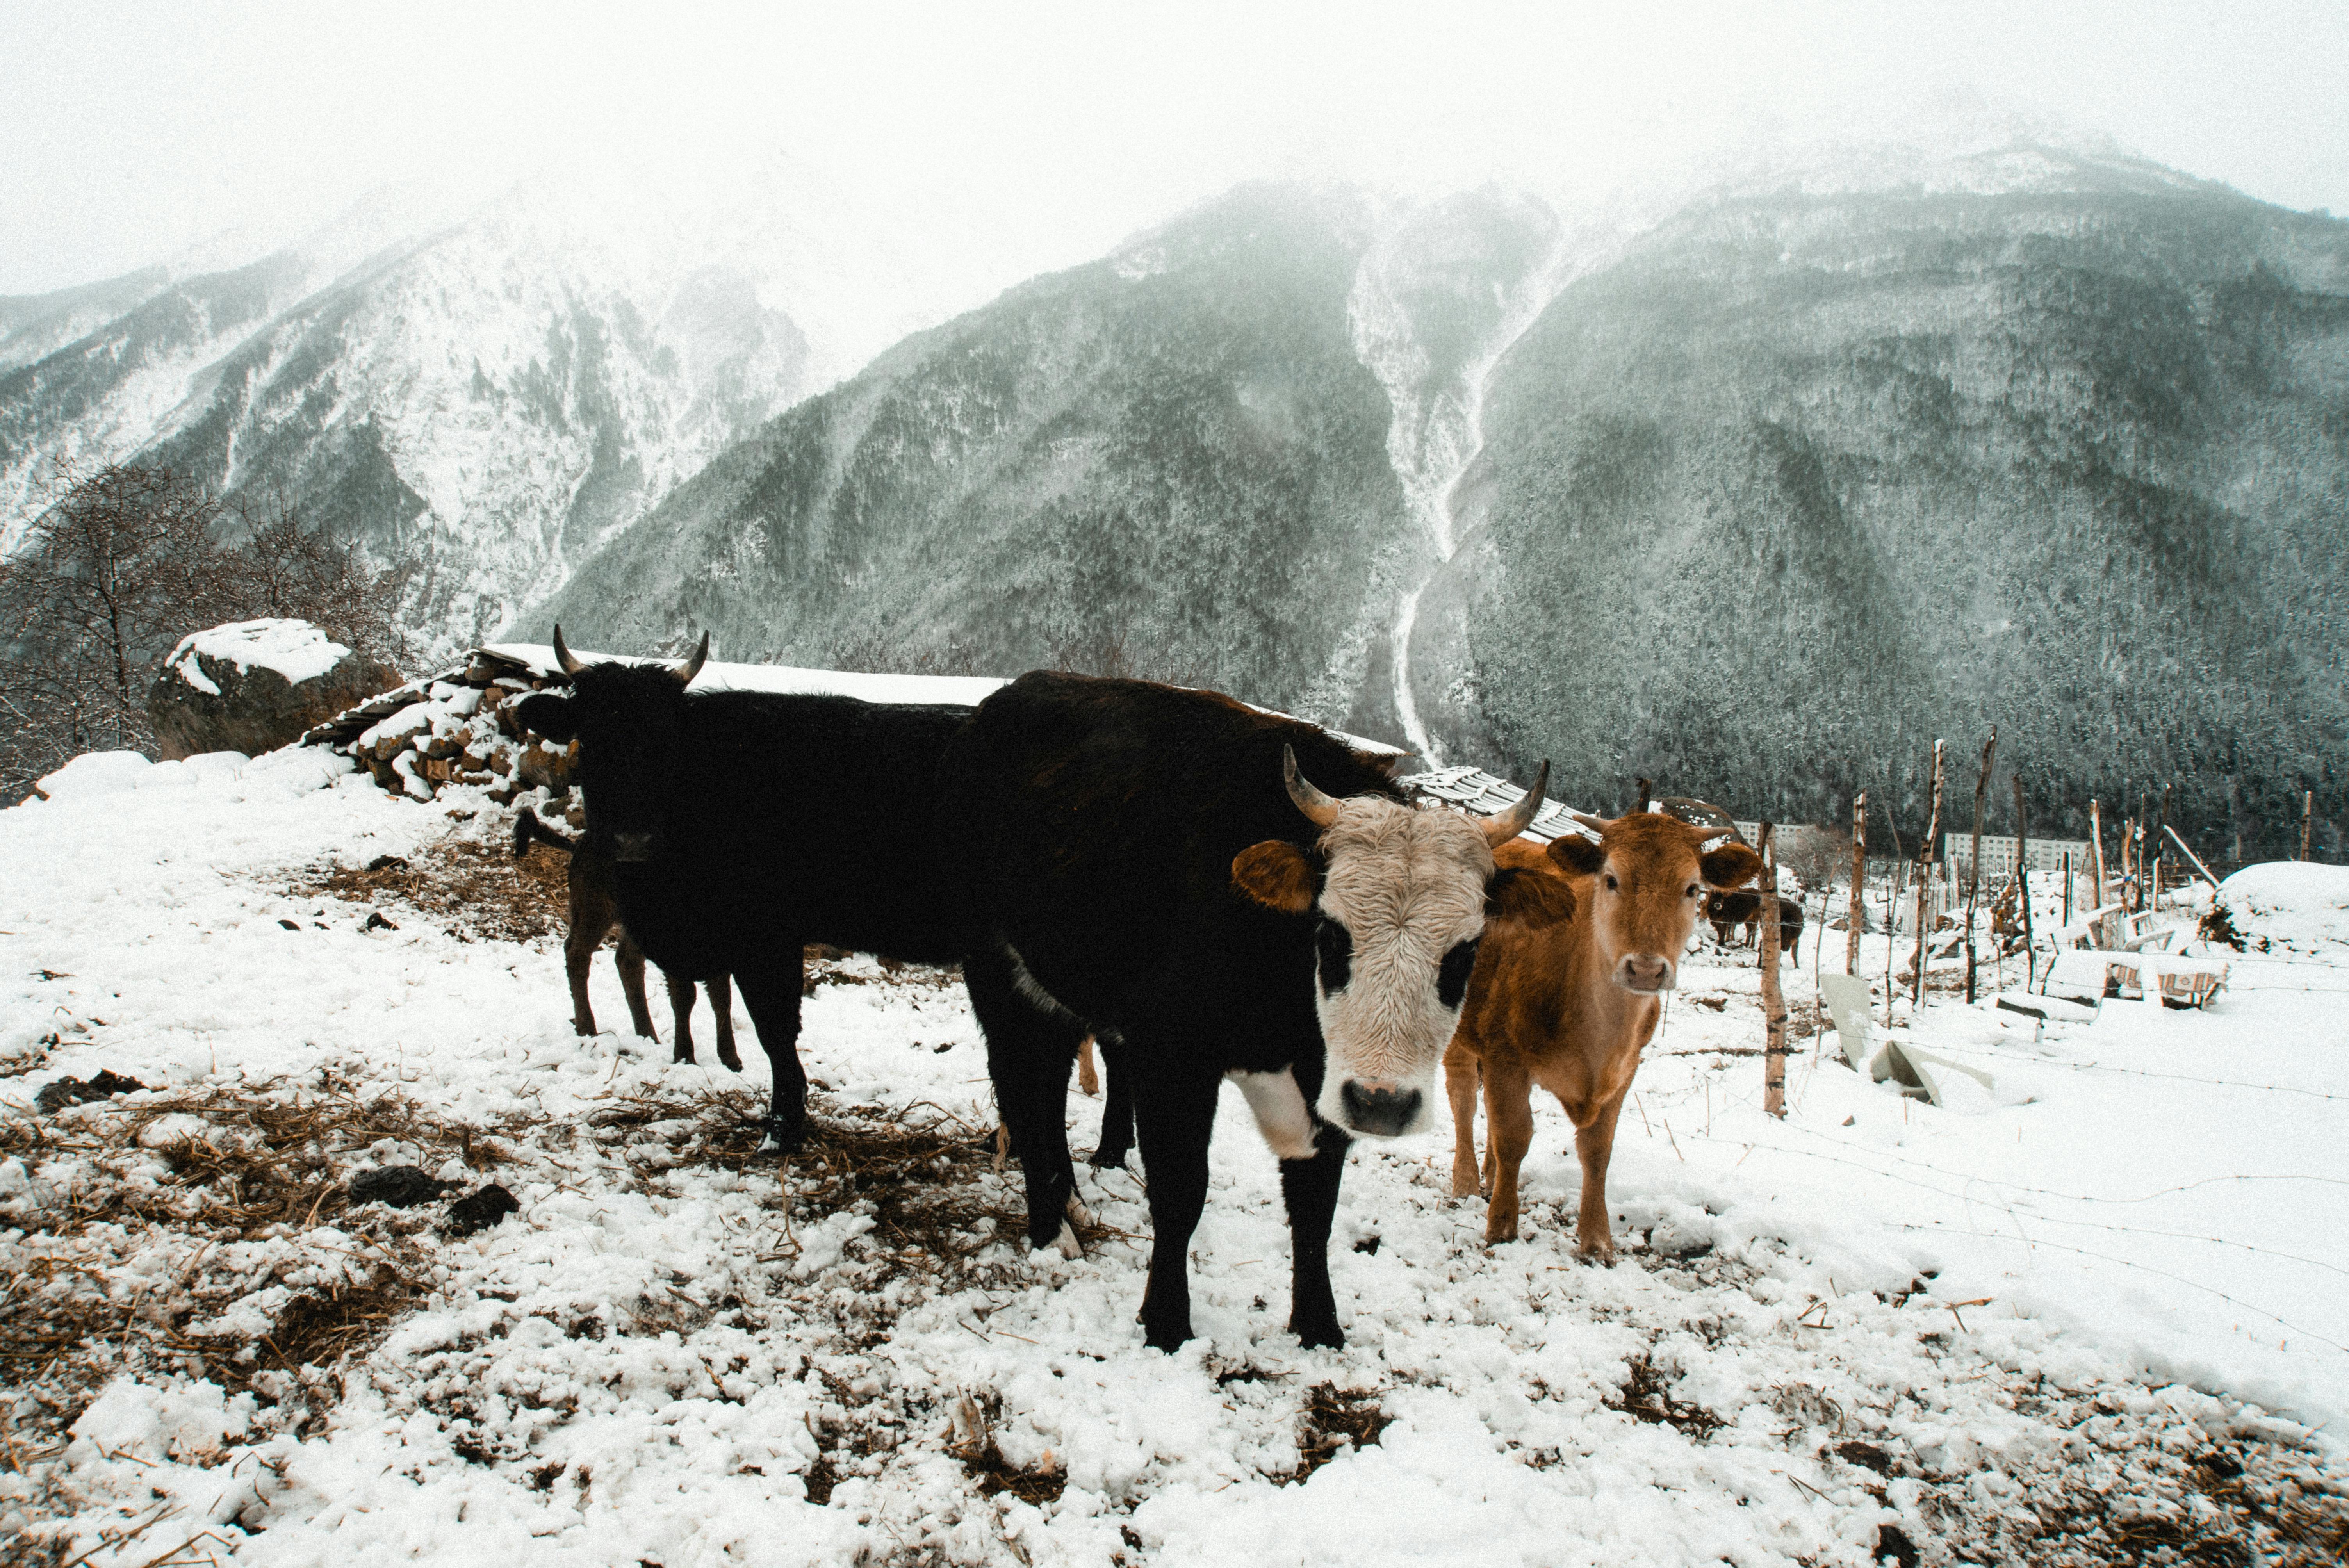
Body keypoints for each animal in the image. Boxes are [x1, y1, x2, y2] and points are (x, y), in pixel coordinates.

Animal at [511, 807, 741, 1070]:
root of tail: (581, 842)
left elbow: (721, 997)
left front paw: (732, 1061)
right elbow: (685, 997)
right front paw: (686, 1058)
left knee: (626, 961)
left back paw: (648, 1036)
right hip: (595, 908)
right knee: (577, 953)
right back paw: (588, 1030)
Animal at [944, 671, 1572, 1350]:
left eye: (1466, 950)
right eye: (1330, 932)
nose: (1384, 1105)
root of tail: (1015, 693)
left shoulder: (1326, 1082)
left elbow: (1315, 1202)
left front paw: (1319, 1326)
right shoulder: (1172, 1058)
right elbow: (1180, 1191)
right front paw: (1168, 1324)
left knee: (1048, 1086)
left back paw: (1069, 1206)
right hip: (995, 970)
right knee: (1020, 1085)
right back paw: (1049, 1228)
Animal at [1445, 812, 1763, 1258]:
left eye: (1692, 888)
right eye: (1611, 879)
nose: (1645, 969)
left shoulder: (1626, 1070)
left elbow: (1597, 1150)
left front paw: (1597, 1240)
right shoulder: (1505, 1058)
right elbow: (1514, 1136)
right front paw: (1502, 1226)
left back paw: (1489, 1176)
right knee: (1464, 1101)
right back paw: (1467, 1181)